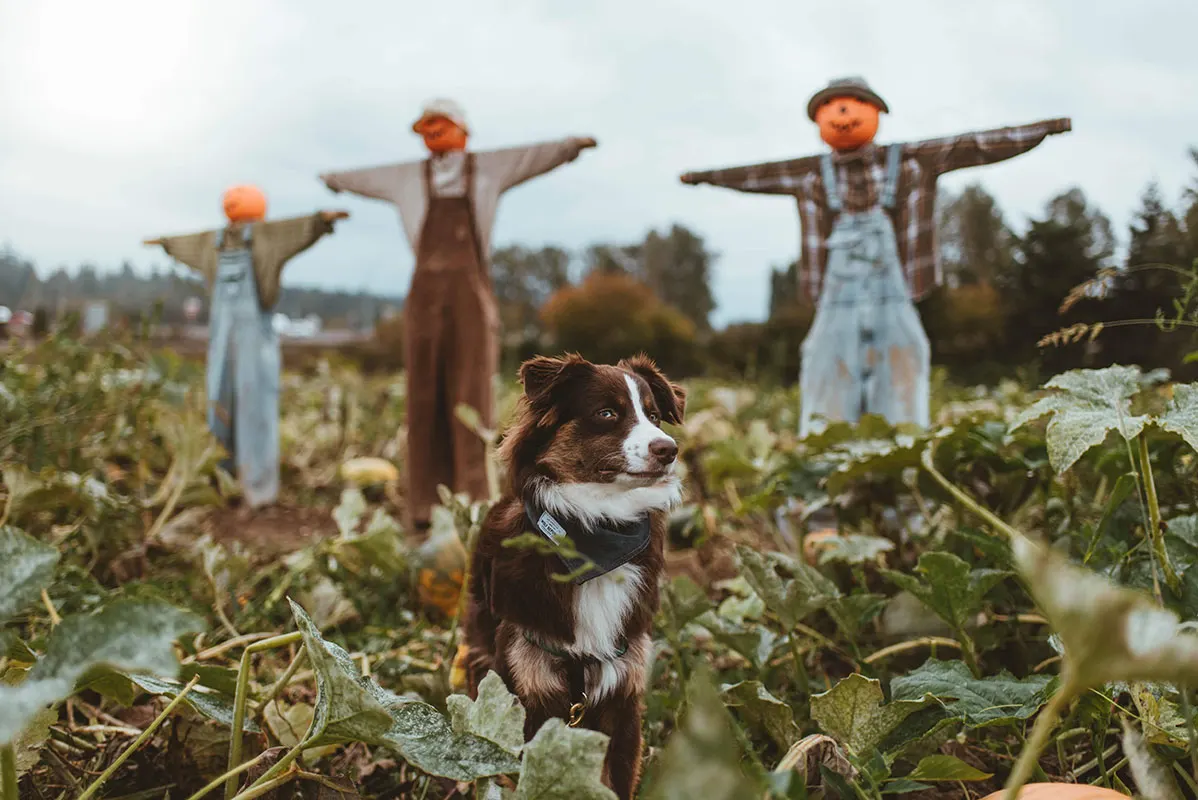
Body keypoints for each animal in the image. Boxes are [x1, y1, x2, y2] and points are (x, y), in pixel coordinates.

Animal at [457, 352, 685, 795]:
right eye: (607, 413)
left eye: (653, 416)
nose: (669, 449)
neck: (597, 528)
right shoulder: (525, 695)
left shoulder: (623, 699)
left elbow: (619, 784)